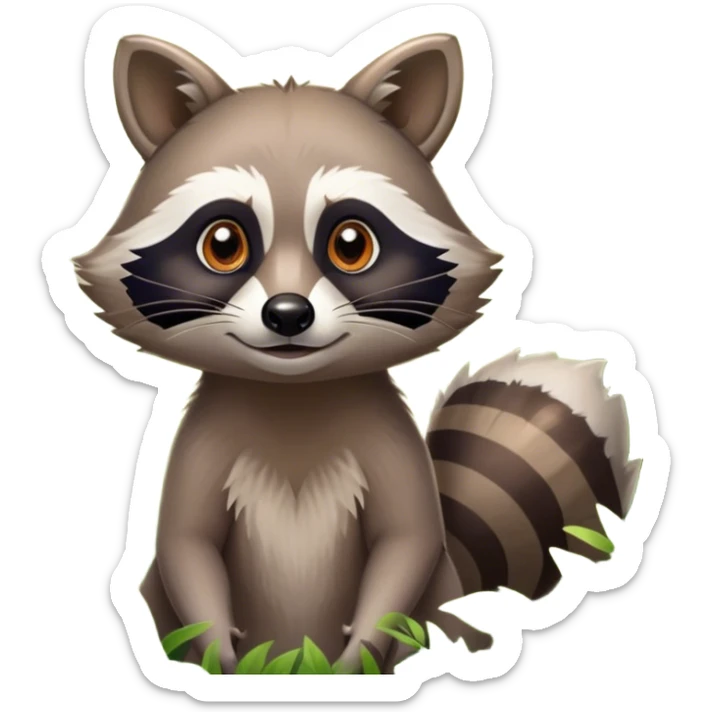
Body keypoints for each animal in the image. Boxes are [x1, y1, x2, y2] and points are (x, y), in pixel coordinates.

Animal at [72, 32, 641, 674]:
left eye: (351, 243)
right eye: (223, 243)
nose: (287, 314)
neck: (294, 399)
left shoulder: (390, 447)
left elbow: (408, 541)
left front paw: (359, 653)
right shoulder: (199, 449)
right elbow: (184, 543)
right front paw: (219, 649)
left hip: (437, 603)